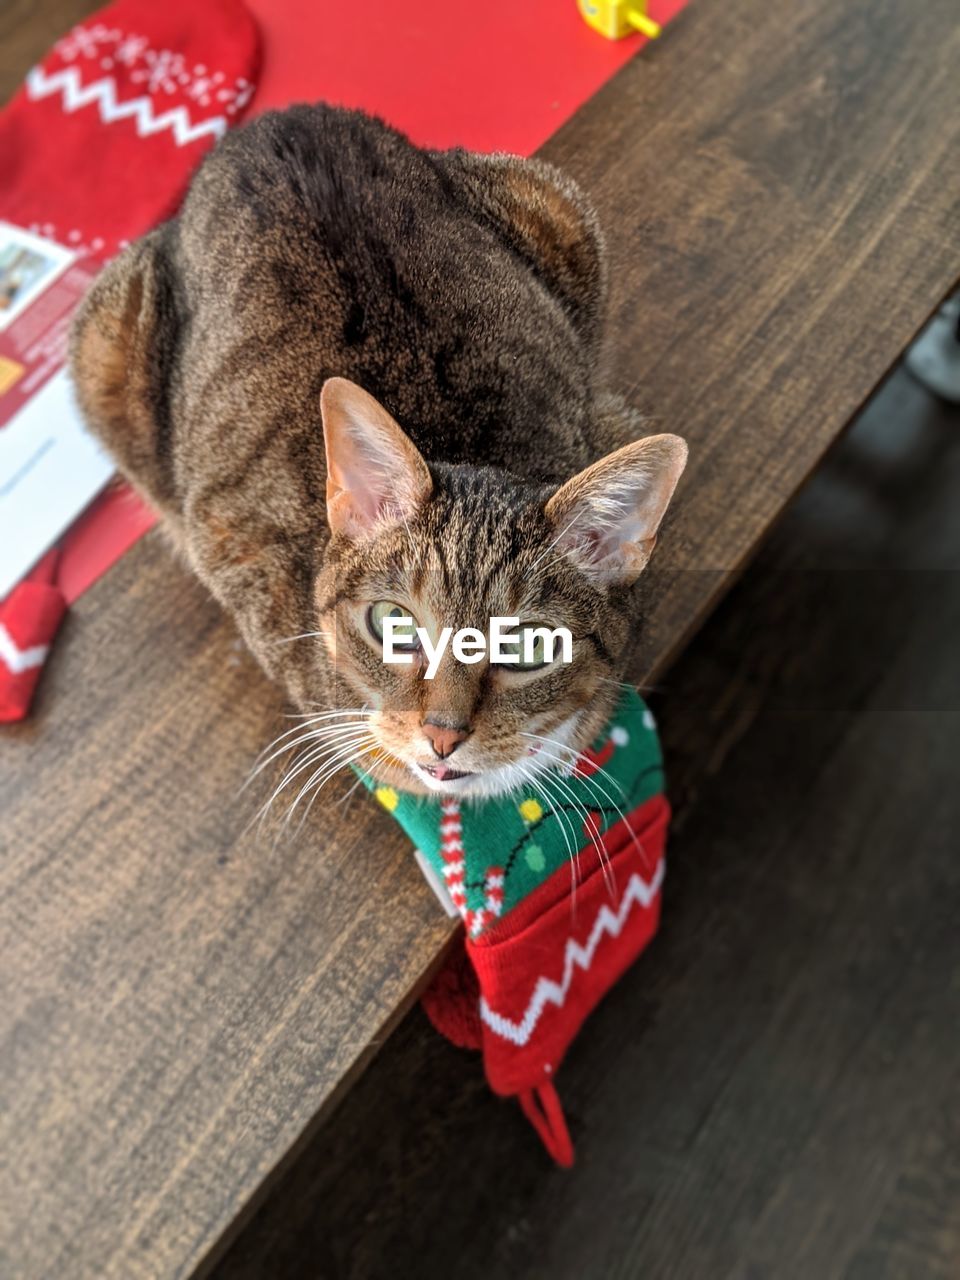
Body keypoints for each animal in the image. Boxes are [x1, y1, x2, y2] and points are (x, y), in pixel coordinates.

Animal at [71, 102, 686, 798]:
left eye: (528, 647)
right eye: (394, 624)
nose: (444, 734)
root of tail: (276, 118)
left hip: (555, 205)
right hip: (105, 348)